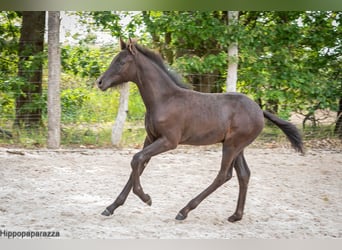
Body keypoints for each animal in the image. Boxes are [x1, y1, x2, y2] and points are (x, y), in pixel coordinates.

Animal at [95, 38, 302, 222]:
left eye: (121, 62)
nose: (100, 82)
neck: (164, 99)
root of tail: (259, 110)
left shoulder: (169, 141)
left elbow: (136, 159)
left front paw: (146, 198)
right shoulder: (151, 138)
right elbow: (138, 164)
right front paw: (111, 207)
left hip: (232, 145)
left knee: (223, 175)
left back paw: (184, 211)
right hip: (237, 146)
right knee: (243, 175)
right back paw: (235, 216)